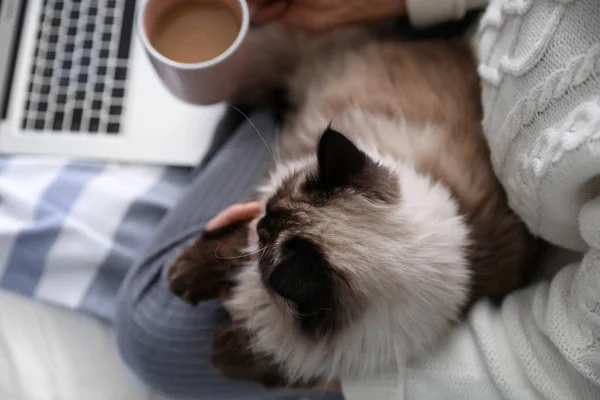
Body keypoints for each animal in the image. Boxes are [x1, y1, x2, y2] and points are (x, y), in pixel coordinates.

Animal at [168, 30, 540, 388]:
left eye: (265, 238)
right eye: (269, 213)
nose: (261, 225)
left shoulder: (317, 359)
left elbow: (274, 362)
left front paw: (219, 353)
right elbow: (225, 245)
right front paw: (180, 277)